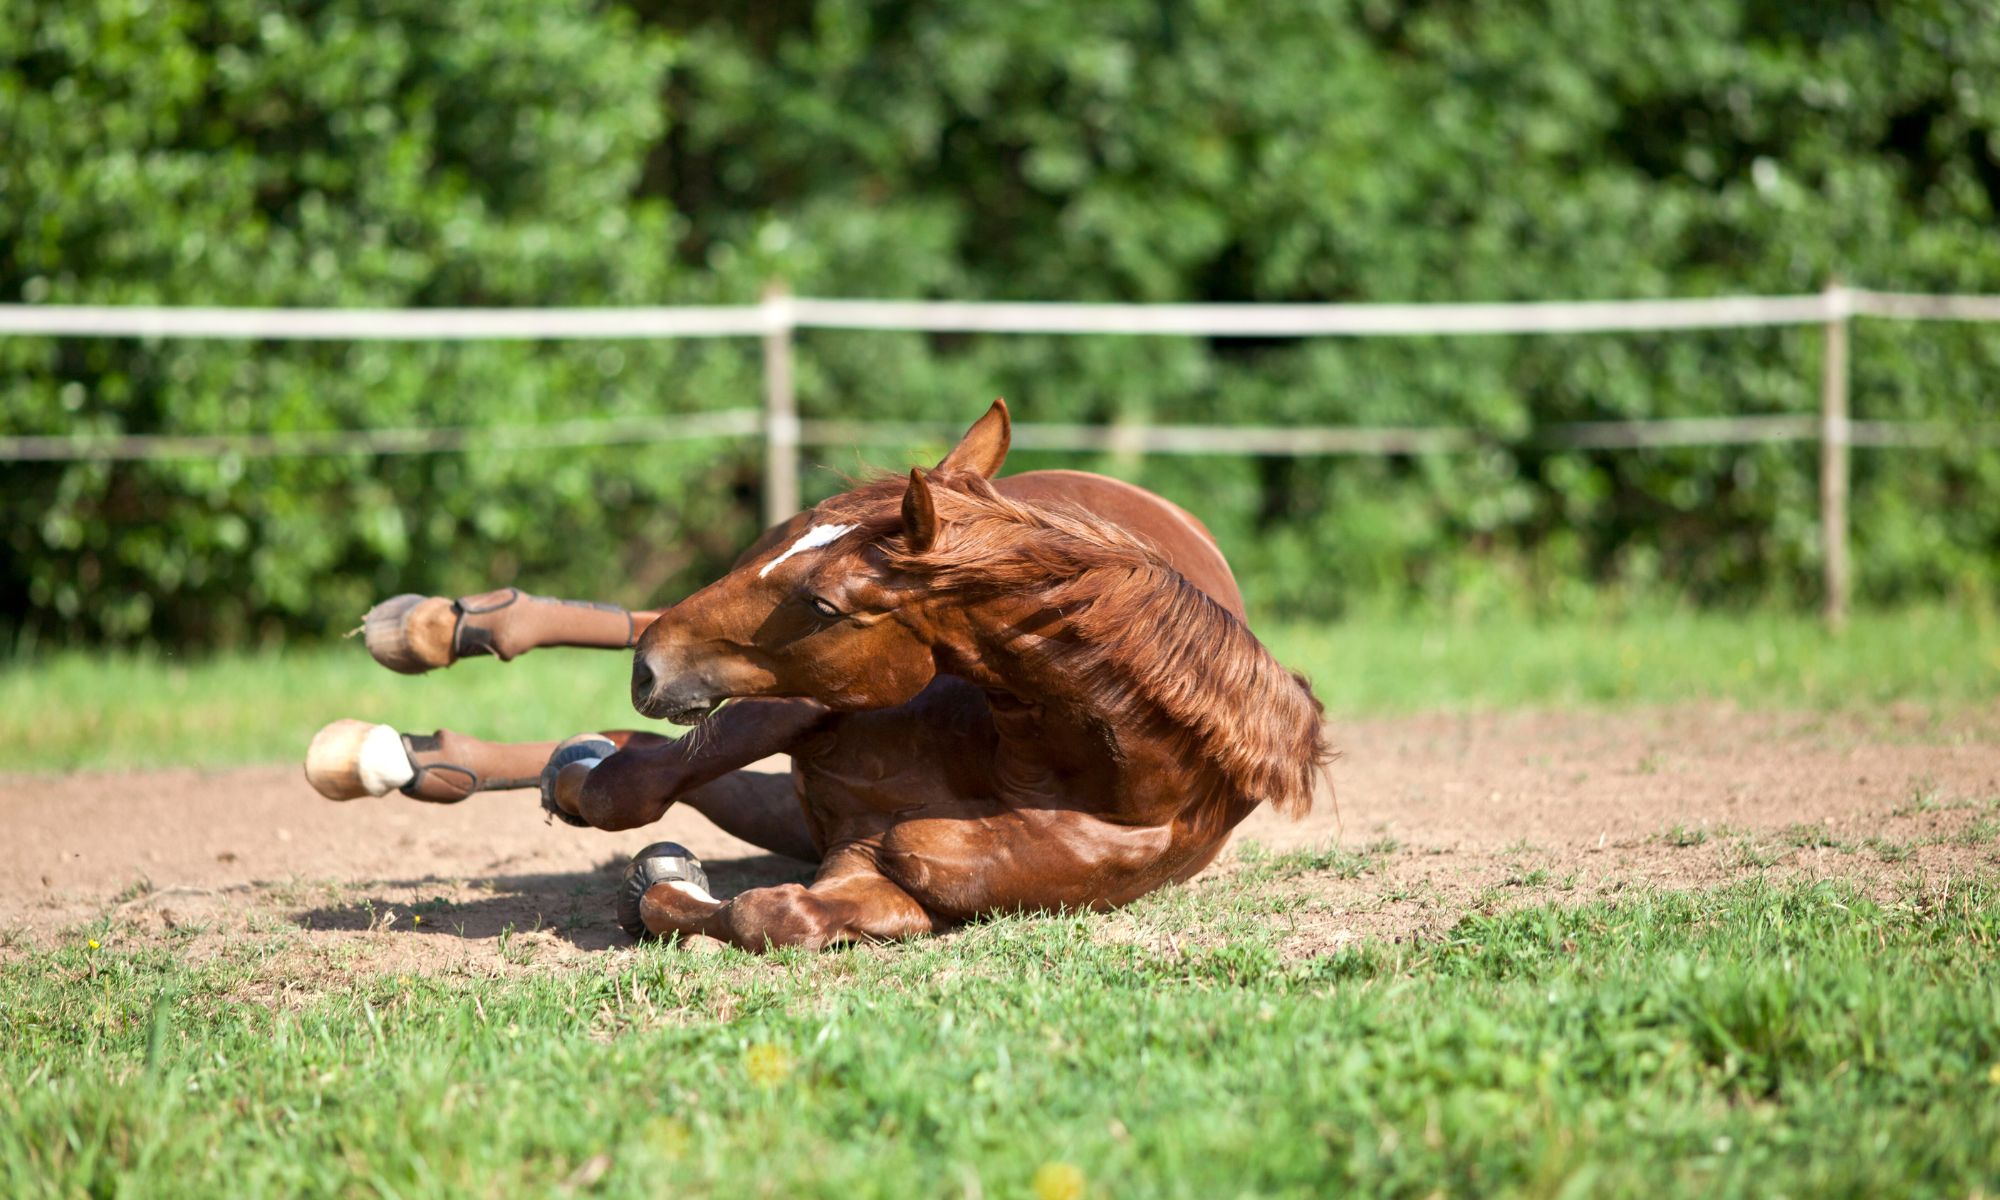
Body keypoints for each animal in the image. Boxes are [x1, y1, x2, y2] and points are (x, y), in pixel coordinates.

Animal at [304, 398, 1336, 952]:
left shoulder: (880, 875)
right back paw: (436, 636)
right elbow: (636, 785)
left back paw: (432, 753)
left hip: (789, 793)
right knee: (639, 647)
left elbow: (773, 912)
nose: (649, 670)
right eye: (801, 553)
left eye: (827, 605)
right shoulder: (805, 702)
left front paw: (662, 881)